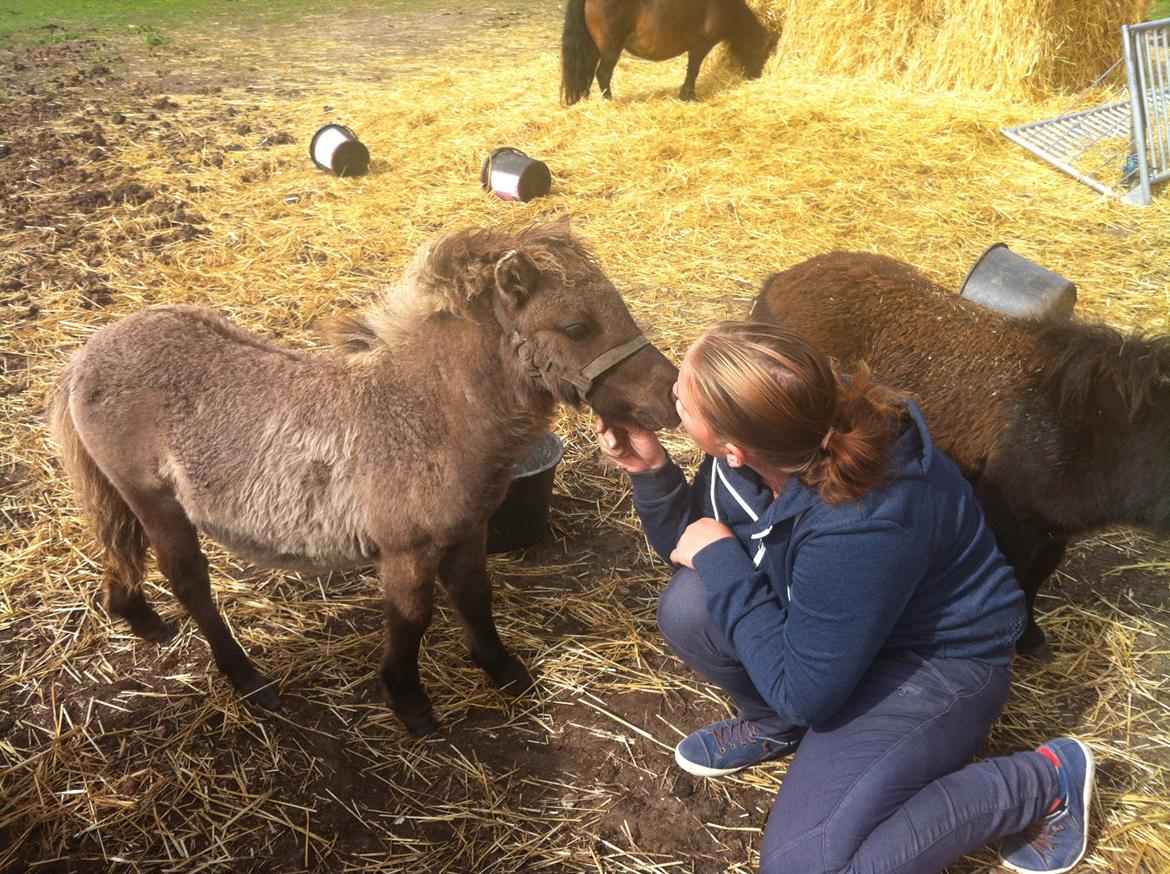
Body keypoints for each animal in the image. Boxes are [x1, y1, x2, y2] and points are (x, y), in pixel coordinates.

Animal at [50, 219, 683, 739]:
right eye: (576, 325)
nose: (670, 399)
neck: (424, 415)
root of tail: (84, 358)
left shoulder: (468, 532)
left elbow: (475, 597)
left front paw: (505, 671)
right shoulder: (406, 552)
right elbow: (412, 620)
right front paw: (410, 705)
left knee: (119, 548)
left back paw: (136, 616)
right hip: (157, 502)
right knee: (188, 582)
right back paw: (248, 680)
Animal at [563, 0, 781, 104]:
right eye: (764, 54)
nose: (756, 77)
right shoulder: (702, 45)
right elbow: (693, 69)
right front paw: (688, 95)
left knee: (587, 73)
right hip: (611, 49)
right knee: (602, 74)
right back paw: (609, 101)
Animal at [748, 252, 1170, 664]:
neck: (1084, 423)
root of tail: (780, 280)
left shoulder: (1049, 528)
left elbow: (1039, 572)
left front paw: (1033, 640)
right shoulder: (1012, 521)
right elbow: (1020, 577)